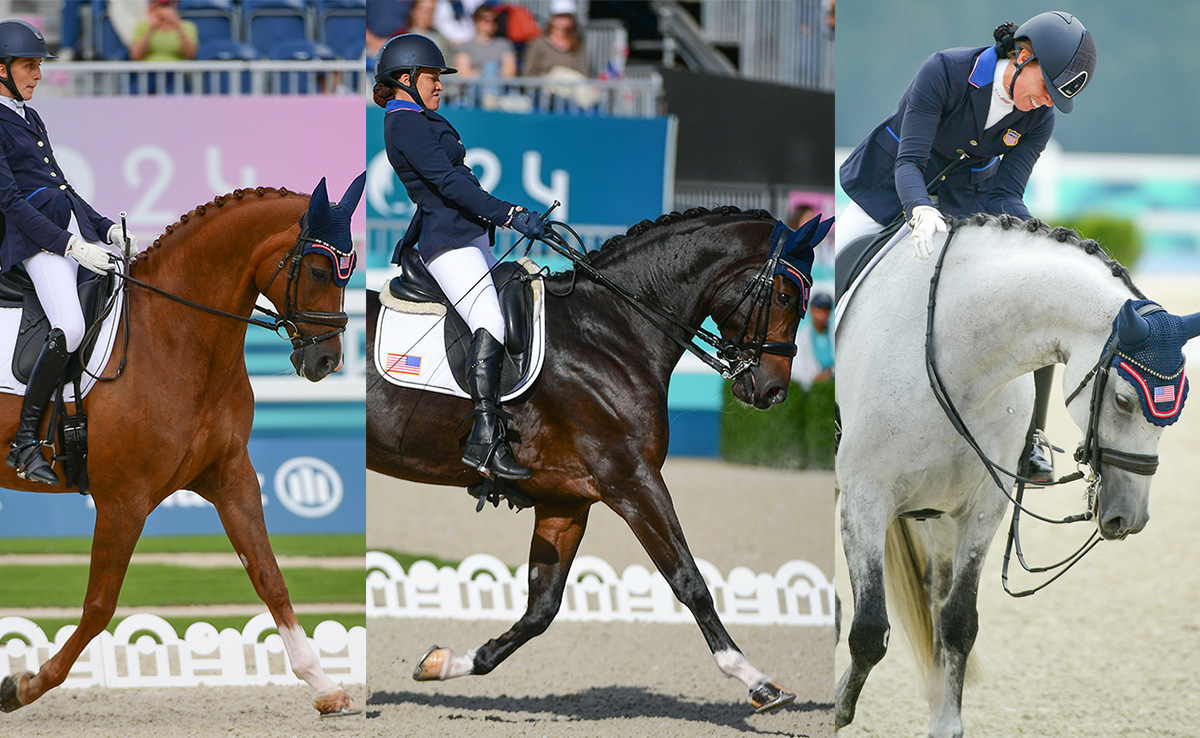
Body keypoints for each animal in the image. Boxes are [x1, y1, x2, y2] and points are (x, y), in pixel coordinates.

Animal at [0, 178, 365, 718]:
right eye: (319, 270)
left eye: (350, 271)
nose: (326, 361)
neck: (176, 335)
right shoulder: (123, 502)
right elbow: (99, 606)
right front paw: (23, 686)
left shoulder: (230, 477)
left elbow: (269, 576)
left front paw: (324, 685)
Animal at [367, 207, 824, 713]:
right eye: (784, 296)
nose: (773, 391)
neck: (610, 334)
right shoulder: (632, 480)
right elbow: (689, 580)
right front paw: (756, 680)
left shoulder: (566, 502)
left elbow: (542, 607)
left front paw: (446, 662)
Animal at [835, 214, 1200, 737]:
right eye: (1124, 400)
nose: (1129, 518)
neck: (956, 362)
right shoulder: (864, 499)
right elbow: (867, 628)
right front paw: (837, 710)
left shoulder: (982, 508)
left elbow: (958, 620)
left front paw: (947, 723)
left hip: (937, 513)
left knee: (936, 593)